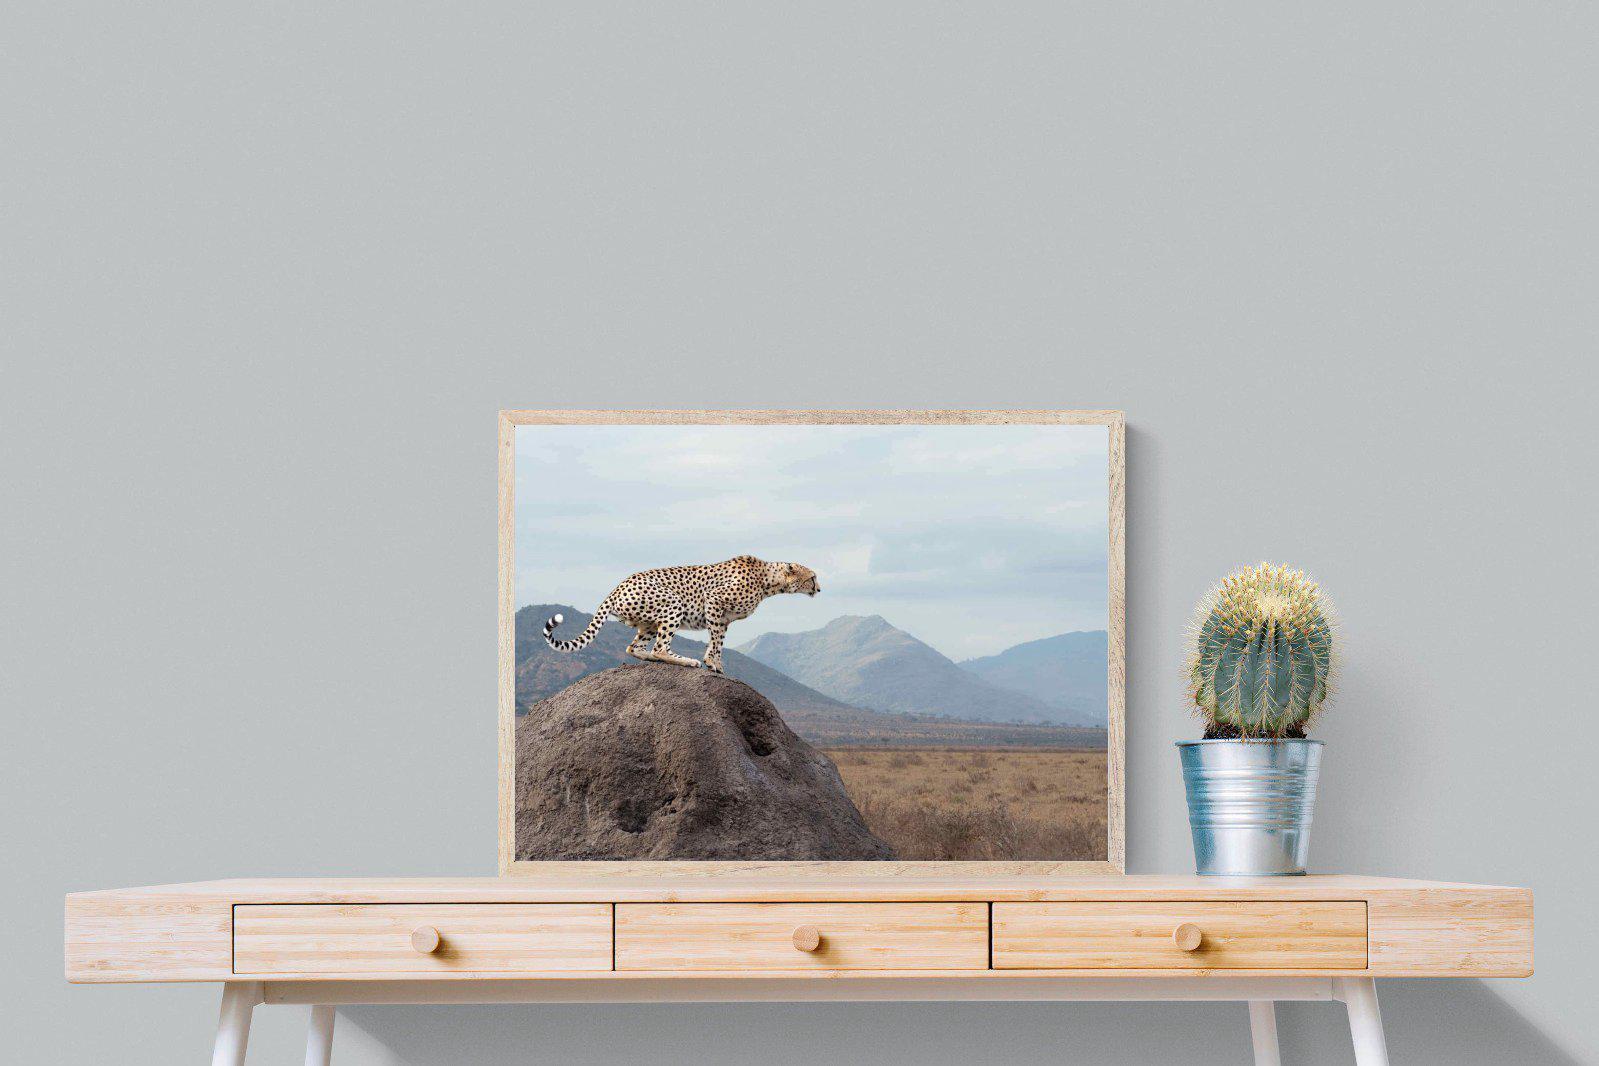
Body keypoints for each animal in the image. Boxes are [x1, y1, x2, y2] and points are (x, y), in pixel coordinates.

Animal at [542, 555, 820, 673]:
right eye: (812, 577)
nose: (819, 588)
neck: (768, 580)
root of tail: (617, 586)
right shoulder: (714, 601)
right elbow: (715, 641)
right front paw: (711, 663)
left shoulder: (724, 618)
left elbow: (718, 641)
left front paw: (716, 663)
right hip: (672, 603)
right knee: (660, 648)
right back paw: (686, 661)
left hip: (648, 622)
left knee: (635, 647)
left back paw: (652, 658)